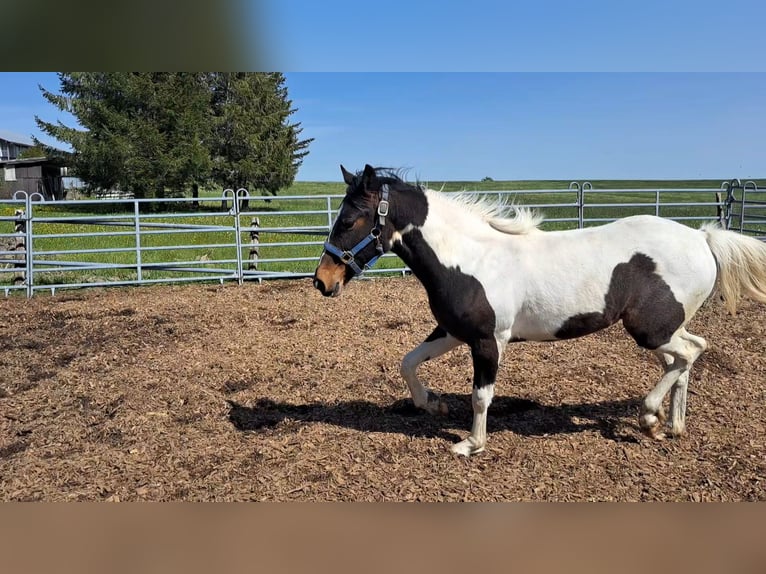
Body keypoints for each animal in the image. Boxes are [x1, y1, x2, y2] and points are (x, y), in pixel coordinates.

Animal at [312, 165, 766, 460]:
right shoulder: (452, 331)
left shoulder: (488, 341)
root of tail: (702, 237)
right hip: (665, 328)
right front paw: (432, 405)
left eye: (349, 219)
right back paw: (670, 426)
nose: (322, 281)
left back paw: (649, 416)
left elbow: (481, 396)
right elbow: (408, 362)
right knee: (683, 359)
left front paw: (470, 444)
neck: (470, 259)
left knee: (691, 351)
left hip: (651, 329)